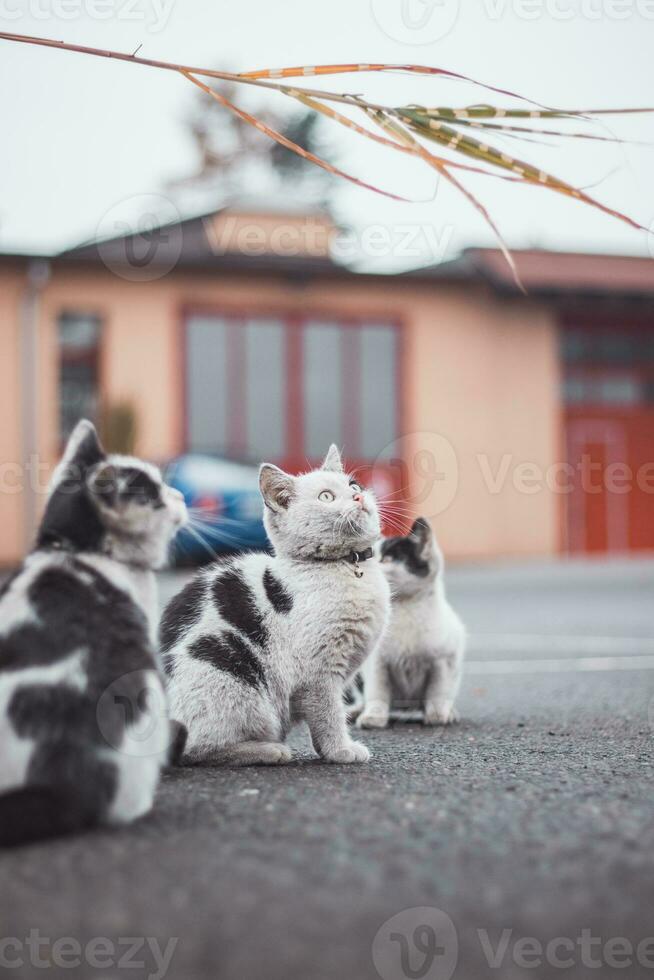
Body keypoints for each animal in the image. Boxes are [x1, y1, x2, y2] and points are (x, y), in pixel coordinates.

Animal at [164, 448, 392, 768]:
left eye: (354, 485)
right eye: (325, 497)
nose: (358, 497)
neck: (349, 567)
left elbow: (321, 719)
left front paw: (326, 751)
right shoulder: (318, 674)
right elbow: (329, 714)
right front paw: (341, 750)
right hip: (228, 675)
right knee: (197, 749)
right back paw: (268, 750)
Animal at [354, 520, 466, 728]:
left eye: (387, 559)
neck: (404, 608)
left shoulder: (442, 662)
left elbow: (437, 691)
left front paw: (438, 714)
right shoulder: (377, 662)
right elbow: (377, 691)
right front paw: (374, 716)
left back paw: (450, 711)